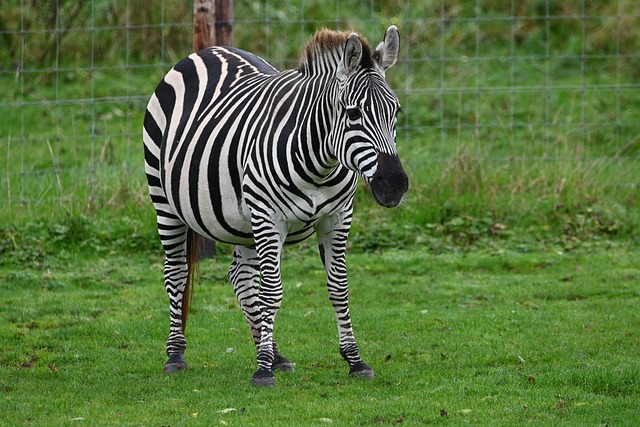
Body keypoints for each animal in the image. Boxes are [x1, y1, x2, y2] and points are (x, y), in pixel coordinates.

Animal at [143, 25, 408, 387]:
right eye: (353, 113)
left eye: (396, 112)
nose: (395, 185)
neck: (319, 163)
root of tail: (207, 51)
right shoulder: (269, 218)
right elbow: (272, 293)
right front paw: (262, 370)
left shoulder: (337, 218)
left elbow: (338, 289)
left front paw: (355, 361)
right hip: (166, 202)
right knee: (177, 272)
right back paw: (175, 355)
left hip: (243, 222)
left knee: (240, 276)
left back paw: (274, 353)